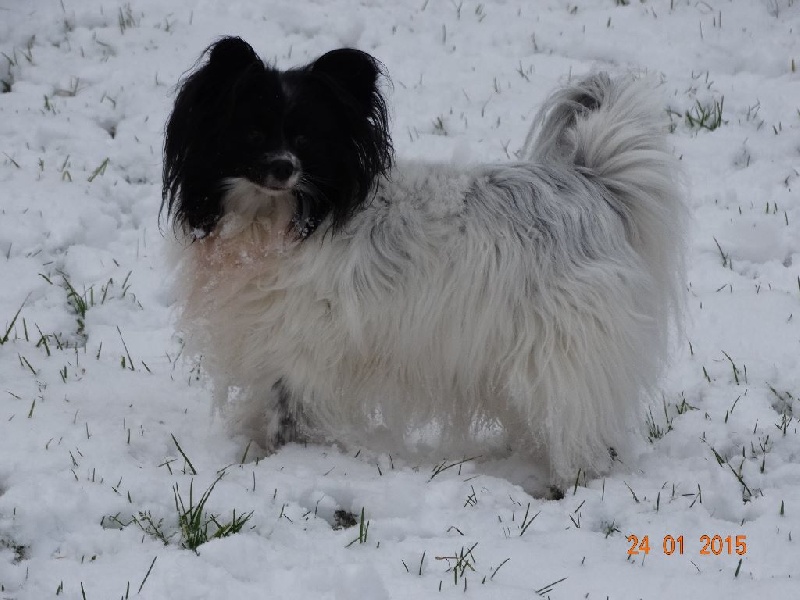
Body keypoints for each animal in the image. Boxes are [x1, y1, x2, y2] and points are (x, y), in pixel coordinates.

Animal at [162, 36, 688, 482]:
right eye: (251, 132)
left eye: (308, 139)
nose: (283, 168)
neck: (279, 225)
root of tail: (591, 185)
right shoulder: (266, 344)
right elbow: (266, 405)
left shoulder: (306, 347)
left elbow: (289, 412)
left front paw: (280, 461)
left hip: (561, 352)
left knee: (578, 429)